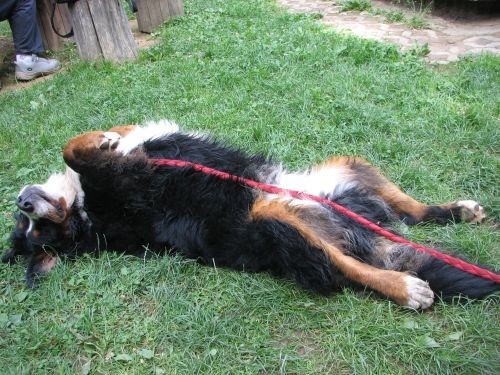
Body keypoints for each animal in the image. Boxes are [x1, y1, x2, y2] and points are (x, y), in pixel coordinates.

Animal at [1, 120, 498, 308]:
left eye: (30, 226)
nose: (23, 203)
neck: (86, 211)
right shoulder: (122, 178)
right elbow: (74, 149)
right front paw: (99, 143)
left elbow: (97, 139)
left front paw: (109, 135)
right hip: (279, 217)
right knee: (348, 267)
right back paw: (405, 288)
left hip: (345, 167)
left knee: (413, 211)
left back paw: (459, 211)